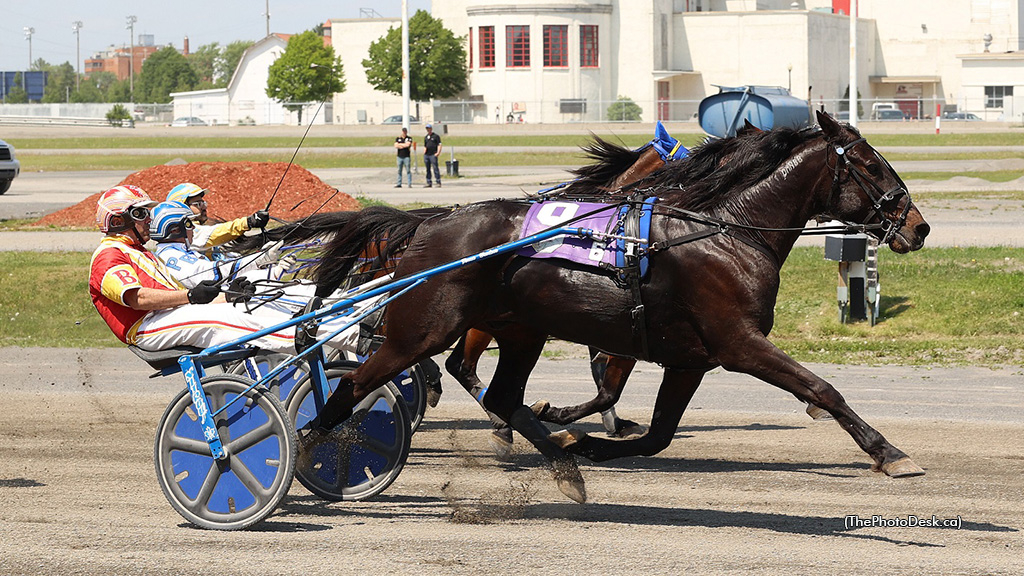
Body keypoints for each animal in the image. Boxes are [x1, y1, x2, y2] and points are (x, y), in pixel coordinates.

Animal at [299, 111, 933, 498]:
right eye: (870, 164)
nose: (919, 226)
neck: (725, 231)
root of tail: (429, 223)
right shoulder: (737, 343)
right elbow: (822, 388)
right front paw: (890, 452)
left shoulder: (688, 359)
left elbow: (655, 434)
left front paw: (587, 440)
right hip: (423, 329)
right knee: (362, 382)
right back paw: (310, 448)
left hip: (521, 330)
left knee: (499, 393)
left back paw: (560, 458)